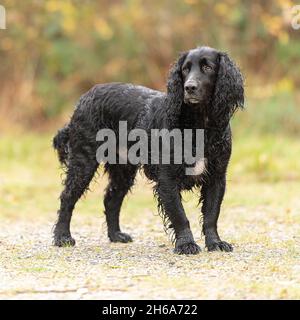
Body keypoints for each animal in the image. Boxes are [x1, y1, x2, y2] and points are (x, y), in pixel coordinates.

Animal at [52, 46, 244, 254]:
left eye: (207, 67)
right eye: (185, 69)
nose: (189, 87)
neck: (199, 126)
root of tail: (84, 98)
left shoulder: (216, 177)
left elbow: (211, 214)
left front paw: (215, 243)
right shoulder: (167, 179)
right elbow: (179, 215)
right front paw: (186, 244)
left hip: (123, 171)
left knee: (111, 199)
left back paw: (116, 235)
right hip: (83, 162)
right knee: (67, 197)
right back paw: (62, 237)